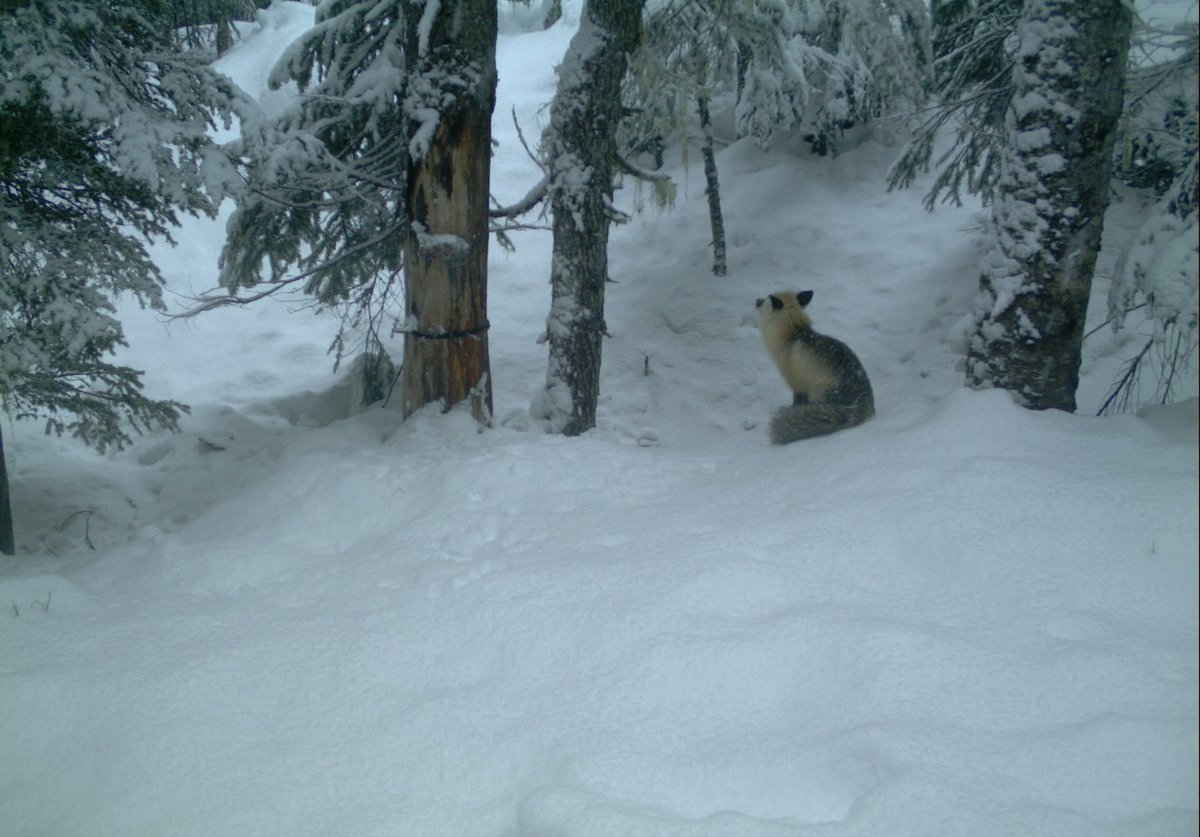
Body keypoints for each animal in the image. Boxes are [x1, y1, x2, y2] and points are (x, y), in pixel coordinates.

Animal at [755, 290, 875, 443]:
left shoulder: (797, 384)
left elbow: (797, 404)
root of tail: (862, 404)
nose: (756, 300)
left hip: (818, 392)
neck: (793, 334)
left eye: (764, 301)